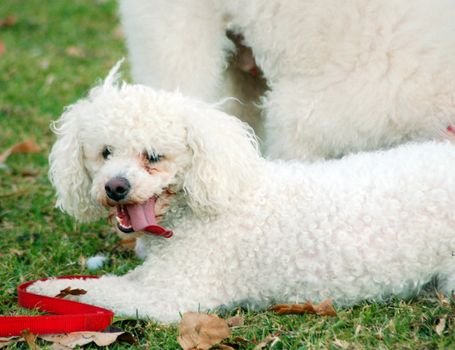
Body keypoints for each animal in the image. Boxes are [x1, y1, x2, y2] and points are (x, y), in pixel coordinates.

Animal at [30, 68, 455, 322]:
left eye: (153, 157)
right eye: (104, 153)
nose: (115, 187)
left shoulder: (173, 297)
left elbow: (99, 293)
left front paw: (43, 291)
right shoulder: (156, 276)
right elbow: (104, 281)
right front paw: (54, 287)